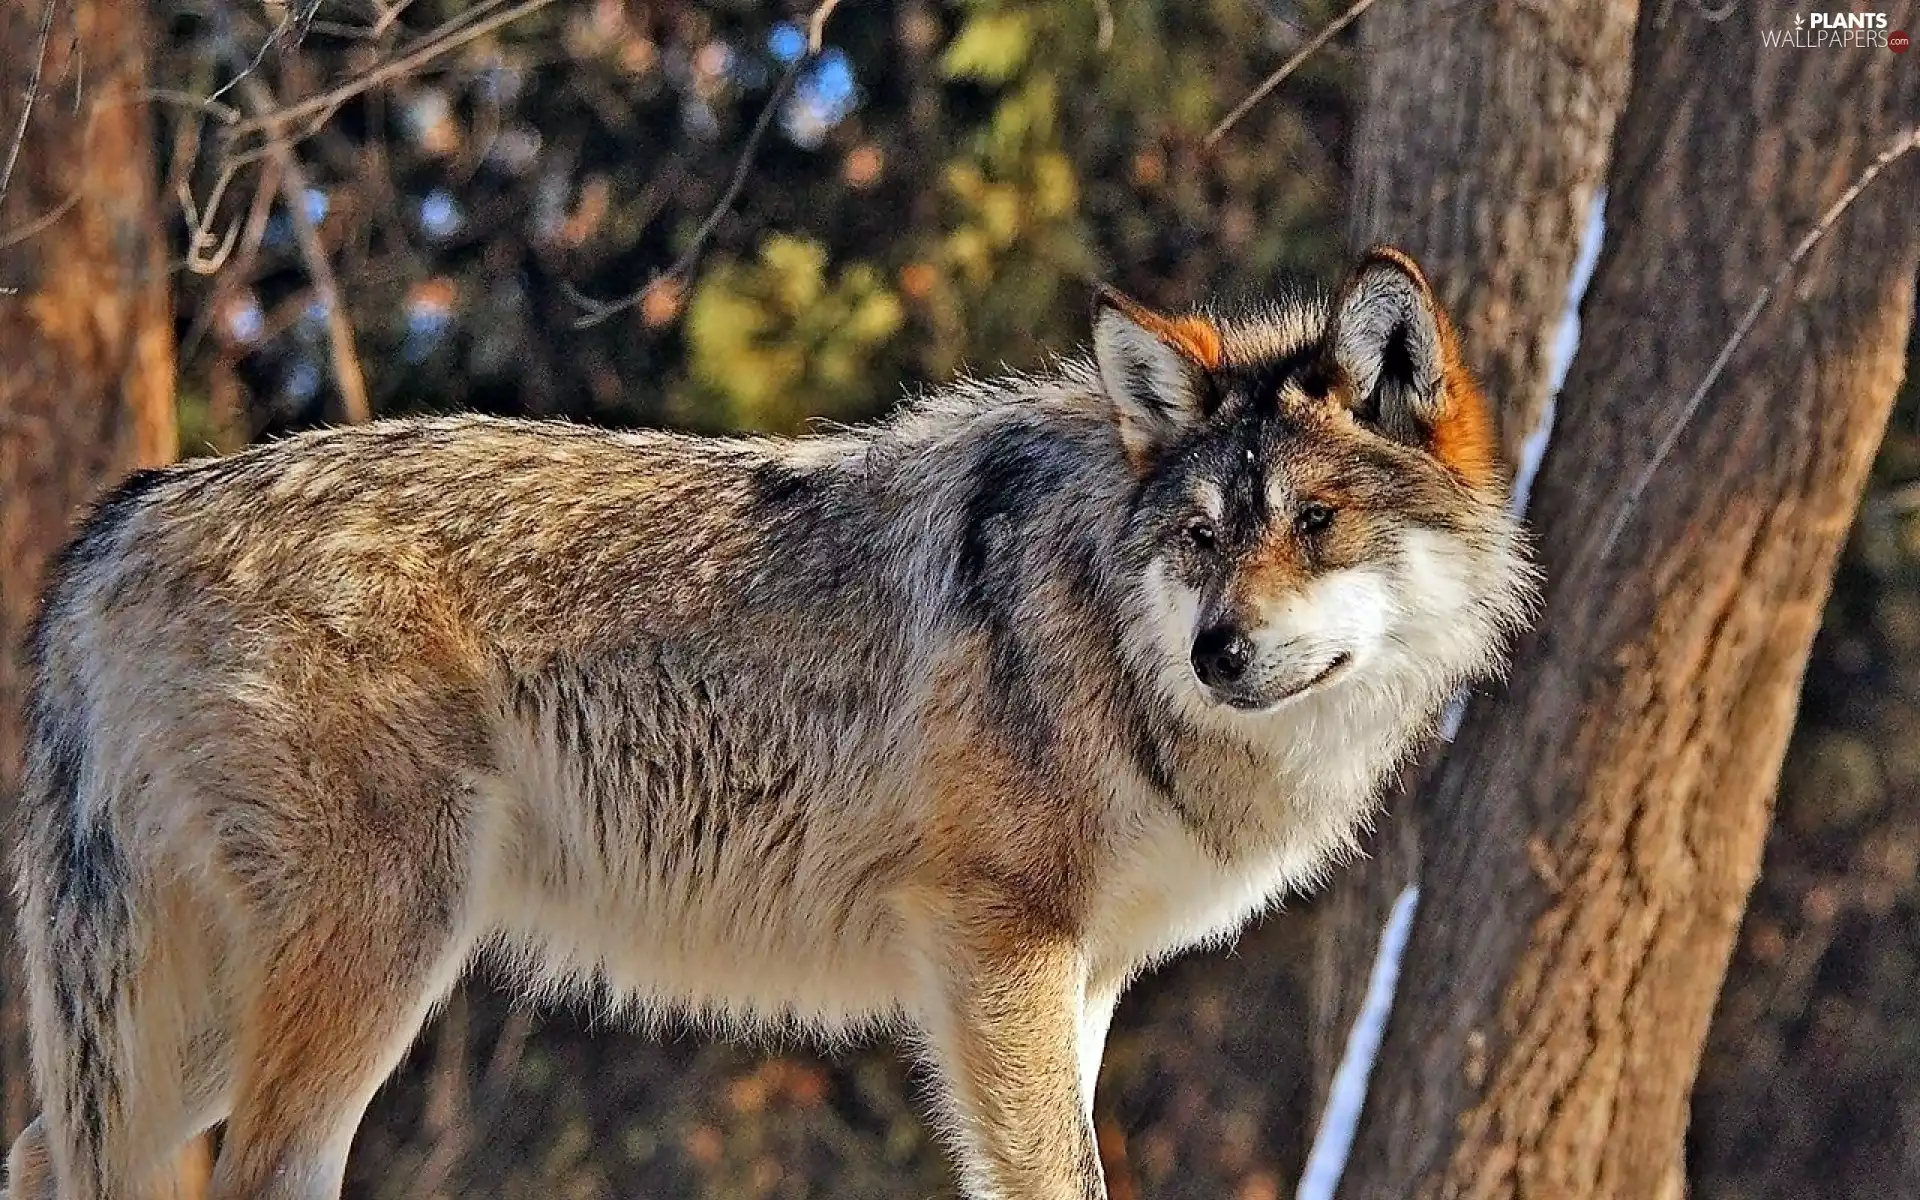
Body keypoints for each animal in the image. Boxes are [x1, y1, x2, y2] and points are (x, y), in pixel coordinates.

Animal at [5, 247, 1534, 1200]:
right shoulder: (997, 948)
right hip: (372, 960)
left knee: (41, 1152)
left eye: (1316, 524)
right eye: (1206, 536)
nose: (1218, 652)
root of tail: (123, 518)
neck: (1098, 630)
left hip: (214, 1016)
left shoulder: (1076, 978)